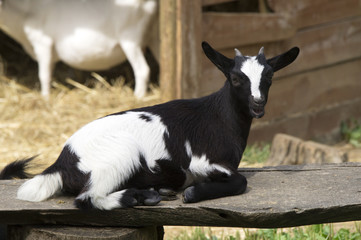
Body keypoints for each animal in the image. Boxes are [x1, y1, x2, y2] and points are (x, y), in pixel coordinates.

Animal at [0, 0, 158, 98]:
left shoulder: (43, 43)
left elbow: (44, 76)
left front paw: (45, 98)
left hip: (130, 39)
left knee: (143, 70)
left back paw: (137, 97)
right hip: (154, 38)